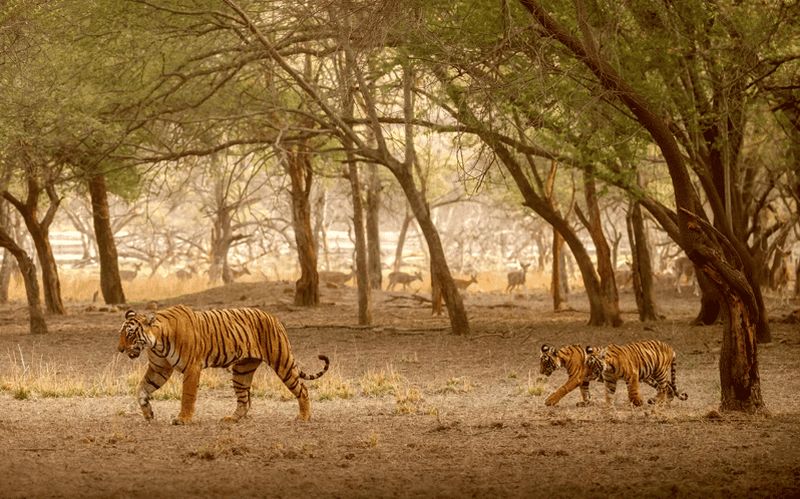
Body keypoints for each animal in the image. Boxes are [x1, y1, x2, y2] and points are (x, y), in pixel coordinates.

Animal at [117, 305, 329, 425]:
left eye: (130, 334)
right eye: (121, 334)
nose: (119, 349)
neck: (157, 342)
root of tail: (273, 317)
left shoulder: (192, 368)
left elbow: (187, 396)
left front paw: (183, 419)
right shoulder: (159, 369)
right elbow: (141, 389)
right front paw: (148, 413)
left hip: (282, 362)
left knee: (302, 389)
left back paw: (304, 417)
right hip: (242, 370)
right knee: (243, 400)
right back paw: (232, 419)